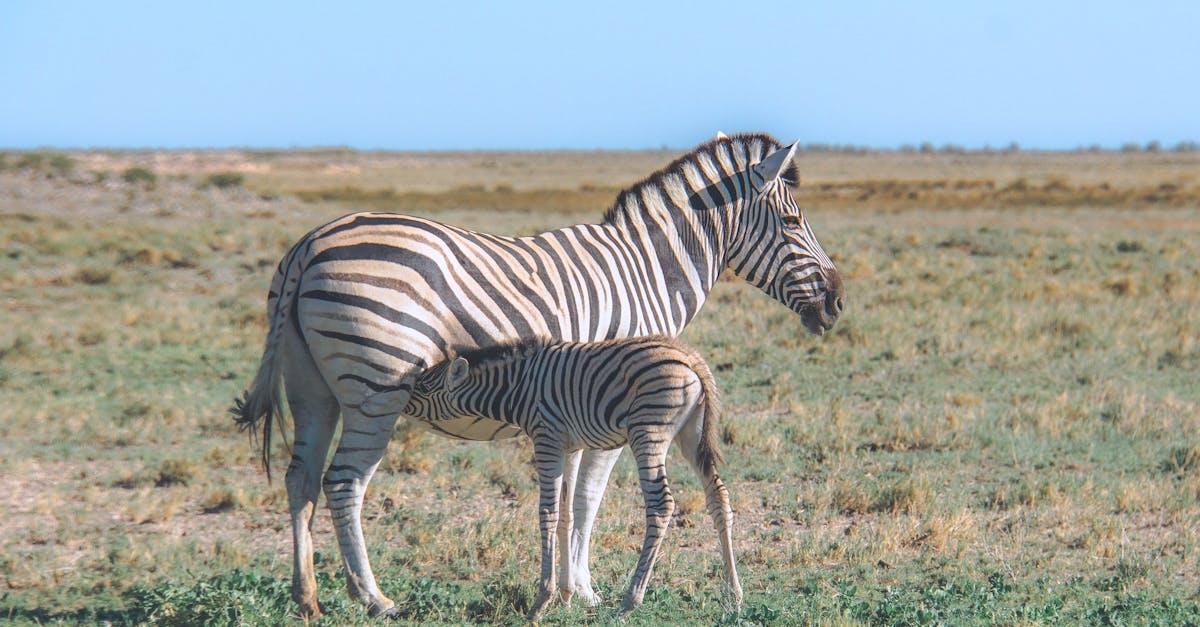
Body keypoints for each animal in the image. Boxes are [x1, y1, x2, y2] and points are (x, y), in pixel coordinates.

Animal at [403, 335, 741, 618]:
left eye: (423, 389)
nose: (398, 404)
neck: (518, 388)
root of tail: (690, 358)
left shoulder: (547, 438)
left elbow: (548, 513)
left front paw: (542, 601)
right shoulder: (570, 445)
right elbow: (566, 514)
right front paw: (566, 596)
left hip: (648, 432)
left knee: (661, 505)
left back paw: (629, 602)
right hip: (691, 434)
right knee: (718, 495)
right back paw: (733, 594)